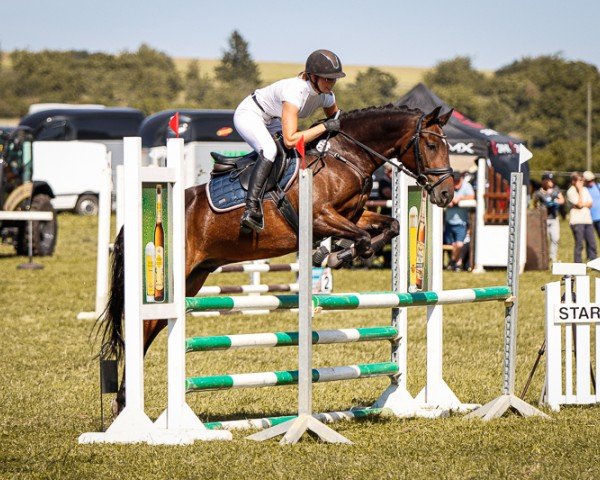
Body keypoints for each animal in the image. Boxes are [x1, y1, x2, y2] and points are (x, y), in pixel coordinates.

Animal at [96, 104, 452, 412]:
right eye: (432, 144)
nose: (446, 194)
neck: (346, 158)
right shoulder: (320, 217)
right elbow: (362, 238)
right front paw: (333, 254)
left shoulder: (355, 214)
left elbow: (391, 226)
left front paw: (337, 252)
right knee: (144, 327)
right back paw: (125, 403)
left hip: (193, 279)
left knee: (154, 326)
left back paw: (124, 401)